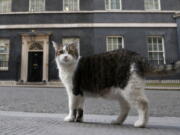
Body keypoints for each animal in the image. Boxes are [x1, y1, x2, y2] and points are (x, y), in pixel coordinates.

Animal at [51, 41, 180, 127]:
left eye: (70, 52)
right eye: (61, 52)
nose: (65, 56)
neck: (68, 68)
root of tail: (137, 55)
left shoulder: (73, 91)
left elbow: (72, 106)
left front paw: (70, 118)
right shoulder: (81, 93)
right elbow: (80, 108)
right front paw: (79, 120)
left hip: (129, 88)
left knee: (143, 104)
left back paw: (141, 123)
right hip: (122, 92)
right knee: (126, 107)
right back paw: (117, 121)